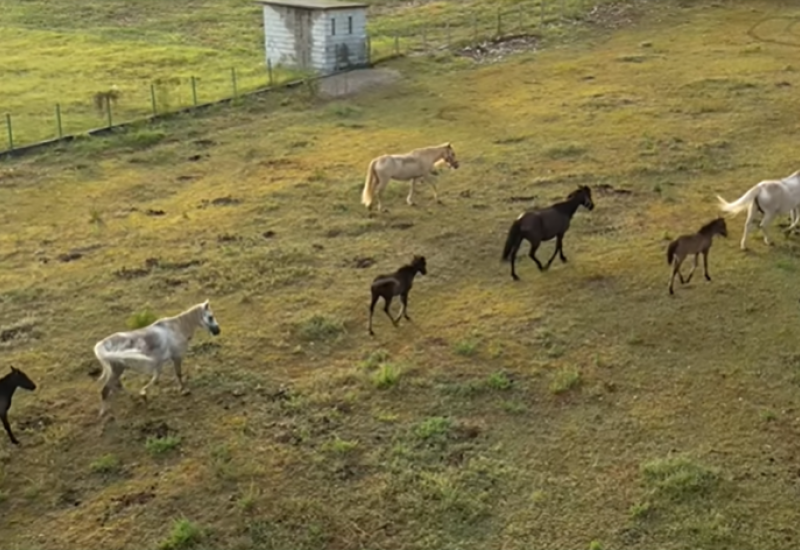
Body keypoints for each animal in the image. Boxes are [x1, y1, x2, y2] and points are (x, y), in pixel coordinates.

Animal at [92, 302, 220, 418]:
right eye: (210, 316)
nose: (218, 331)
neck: (176, 329)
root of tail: (102, 345)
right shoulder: (176, 357)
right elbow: (178, 374)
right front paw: (183, 390)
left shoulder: (159, 363)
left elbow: (155, 378)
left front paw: (143, 394)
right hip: (117, 370)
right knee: (105, 390)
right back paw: (103, 413)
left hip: (118, 370)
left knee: (116, 387)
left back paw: (133, 399)